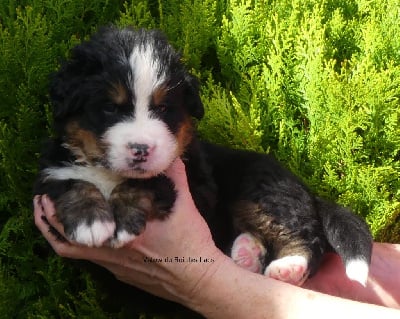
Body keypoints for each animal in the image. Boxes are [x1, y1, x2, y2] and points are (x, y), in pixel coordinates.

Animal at [33, 26, 372, 288]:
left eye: (164, 108)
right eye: (109, 108)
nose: (141, 149)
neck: (108, 173)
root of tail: (307, 191)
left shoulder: (193, 183)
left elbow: (147, 182)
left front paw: (122, 221)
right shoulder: (51, 175)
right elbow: (73, 183)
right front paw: (90, 220)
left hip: (263, 189)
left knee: (306, 237)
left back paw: (288, 267)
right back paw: (247, 253)